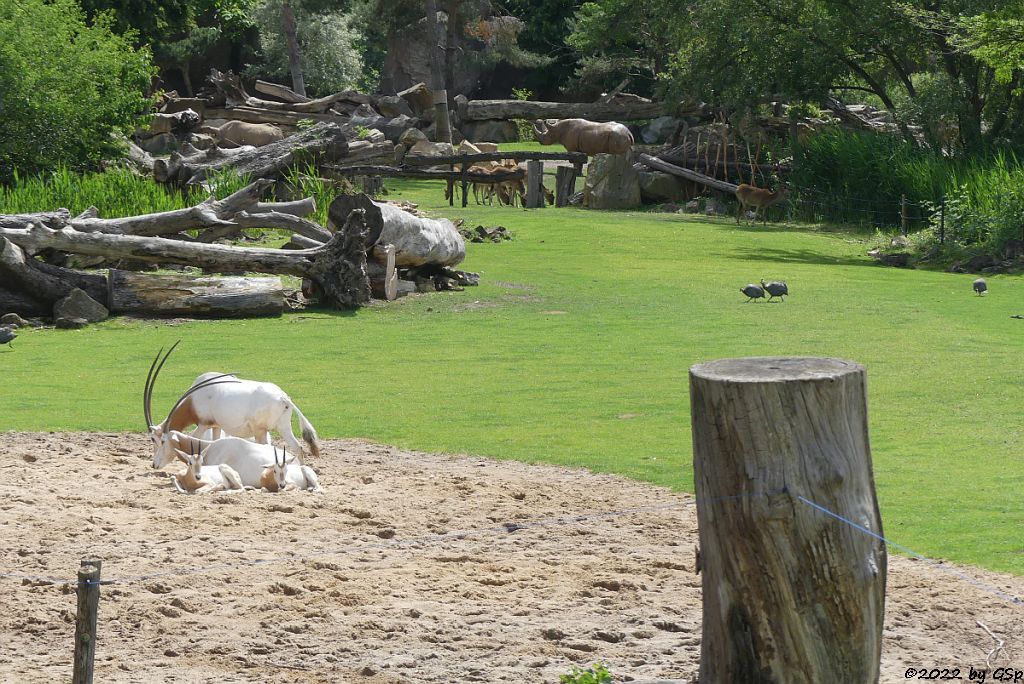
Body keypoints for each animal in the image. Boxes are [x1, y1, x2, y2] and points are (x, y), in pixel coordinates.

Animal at [144, 342, 319, 471]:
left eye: (155, 439)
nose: (154, 465)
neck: (194, 399)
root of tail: (283, 397)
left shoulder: (203, 424)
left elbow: (195, 438)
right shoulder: (216, 425)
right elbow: (214, 440)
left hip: (260, 430)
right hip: (283, 427)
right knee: (298, 447)